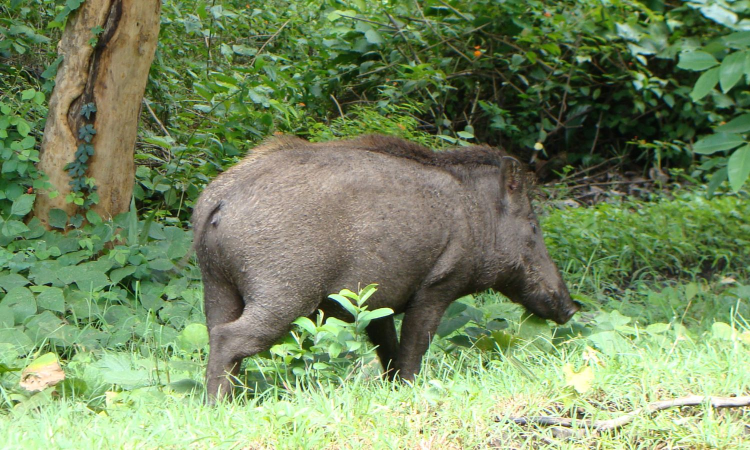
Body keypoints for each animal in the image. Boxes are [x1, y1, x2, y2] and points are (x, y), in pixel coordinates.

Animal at [192, 135, 579, 401]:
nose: (571, 308)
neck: (478, 216)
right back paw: (219, 406)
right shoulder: (438, 286)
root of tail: (218, 200)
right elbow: (413, 348)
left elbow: (389, 350)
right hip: (284, 294)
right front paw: (410, 390)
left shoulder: (380, 304)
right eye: (533, 226)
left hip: (217, 286)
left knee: (217, 334)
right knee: (231, 338)